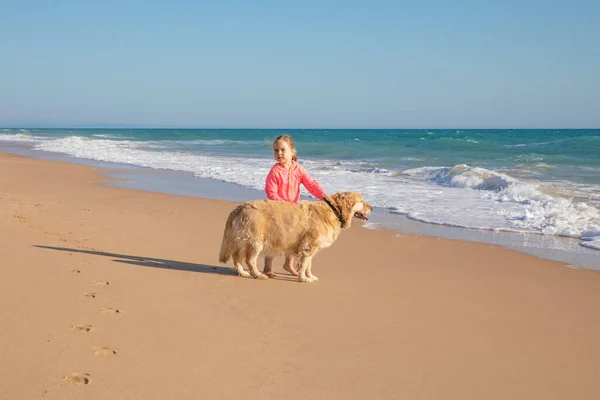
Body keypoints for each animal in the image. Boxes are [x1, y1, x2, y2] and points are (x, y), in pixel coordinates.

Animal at [218, 192, 372, 282]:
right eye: (362, 201)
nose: (372, 208)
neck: (334, 210)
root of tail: (239, 208)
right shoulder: (308, 246)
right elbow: (304, 264)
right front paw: (303, 278)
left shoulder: (311, 248)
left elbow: (308, 265)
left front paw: (310, 276)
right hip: (255, 240)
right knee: (250, 259)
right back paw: (258, 274)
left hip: (242, 239)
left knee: (237, 256)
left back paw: (242, 272)